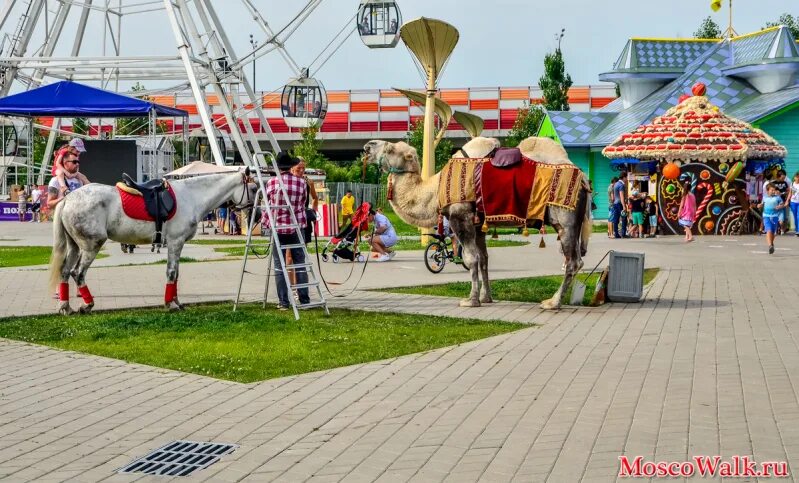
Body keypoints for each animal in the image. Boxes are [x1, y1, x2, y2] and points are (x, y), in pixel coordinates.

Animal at [47, 170, 258, 314]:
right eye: (254, 188)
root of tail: (67, 199)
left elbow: (176, 274)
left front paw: (176, 302)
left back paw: (65, 307)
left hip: (74, 247)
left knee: (65, 272)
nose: (256, 217)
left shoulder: (177, 244)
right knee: (78, 273)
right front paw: (170, 304)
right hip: (91, 246)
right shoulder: (175, 242)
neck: (191, 196)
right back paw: (86, 305)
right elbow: (172, 273)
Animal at [366, 136, 592, 312]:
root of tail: (583, 179)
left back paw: (553, 302)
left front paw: (471, 300)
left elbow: (471, 258)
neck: (435, 190)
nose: (368, 146)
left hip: (564, 219)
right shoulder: (478, 225)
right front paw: (486, 297)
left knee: (572, 261)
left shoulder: (461, 217)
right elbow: (484, 258)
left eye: (390, 149)